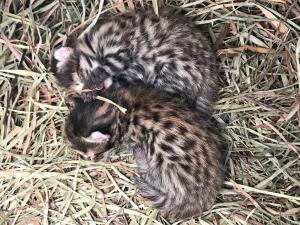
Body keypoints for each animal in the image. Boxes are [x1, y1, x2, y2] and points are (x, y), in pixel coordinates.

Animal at [51, 8, 219, 111]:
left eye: (80, 74)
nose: (98, 89)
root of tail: (210, 74)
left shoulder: (118, 49)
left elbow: (103, 68)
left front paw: (90, 86)